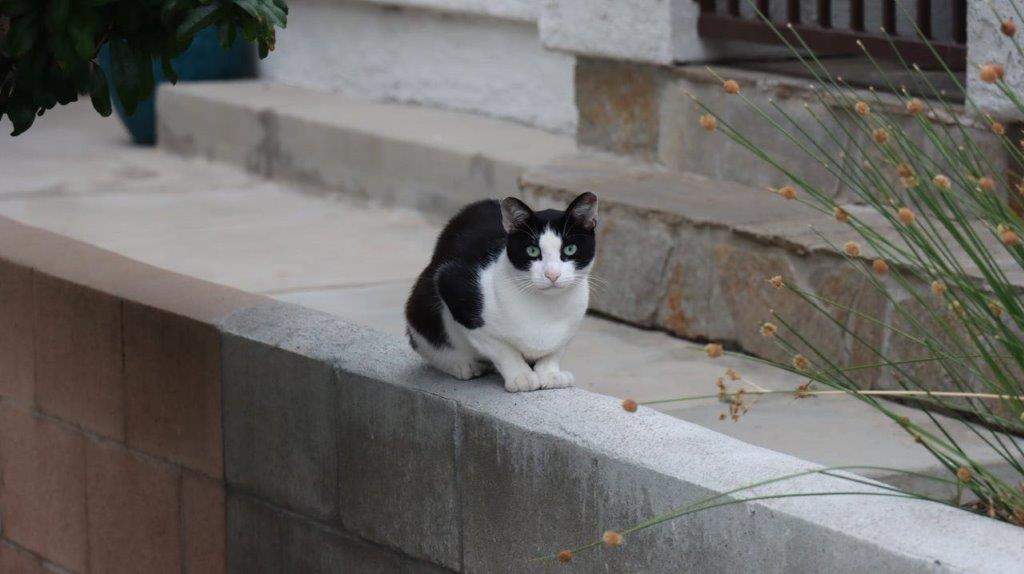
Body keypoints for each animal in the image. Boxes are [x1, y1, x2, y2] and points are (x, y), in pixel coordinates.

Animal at [405, 193, 598, 392]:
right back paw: (462, 364)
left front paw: (550, 374)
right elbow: (502, 349)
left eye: (570, 249)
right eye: (532, 250)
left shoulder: (570, 328)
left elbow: (556, 350)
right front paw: (521, 376)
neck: (548, 308)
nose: (552, 274)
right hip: (423, 302)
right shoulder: (453, 285)